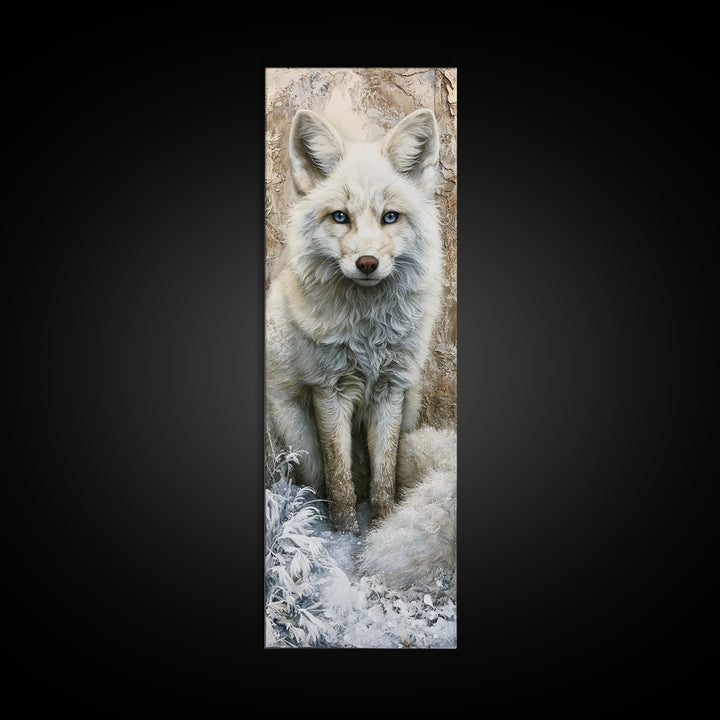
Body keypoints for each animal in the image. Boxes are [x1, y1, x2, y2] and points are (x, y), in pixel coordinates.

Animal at [265, 107, 444, 533]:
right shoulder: (328, 390)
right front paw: (345, 533)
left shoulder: (391, 390)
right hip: (299, 436)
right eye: (340, 217)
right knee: (316, 480)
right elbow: (340, 477)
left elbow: (383, 476)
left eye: (390, 217)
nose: (367, 264)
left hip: (411, 407)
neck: (367, 334)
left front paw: (382, 525)